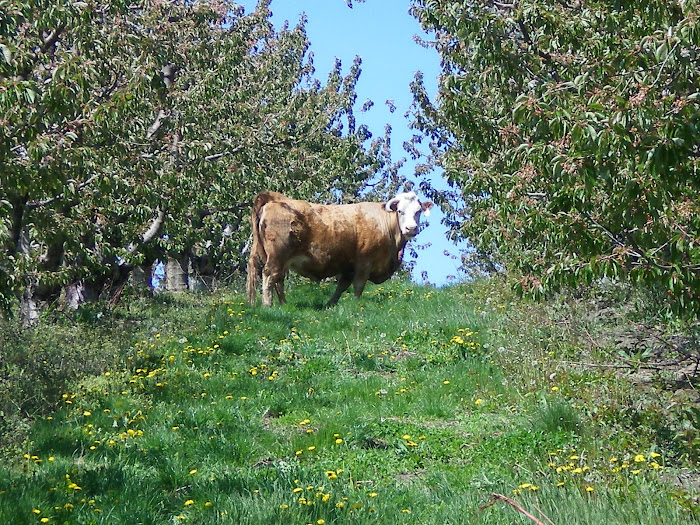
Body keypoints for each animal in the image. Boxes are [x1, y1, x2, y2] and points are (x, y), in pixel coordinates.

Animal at [246, 191, 433, 307]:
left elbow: (342, 285)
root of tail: (275, 198)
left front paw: (330, 304)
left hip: (282, 259)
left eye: (418, 211)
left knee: (278, 280)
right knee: (269, 276)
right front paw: (357, 305)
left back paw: (284, 305)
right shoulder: (364, 262)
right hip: (277, 256)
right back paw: (267, 305)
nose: (411, 228)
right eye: (400, 211)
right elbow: (358, 286)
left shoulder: (349, 266)